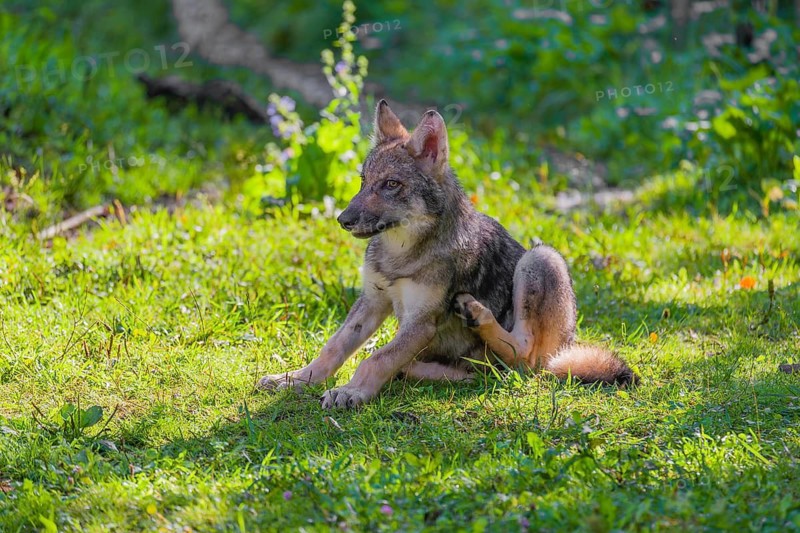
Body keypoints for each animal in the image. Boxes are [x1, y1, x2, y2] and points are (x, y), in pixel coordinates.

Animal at [258, 100, 637, 408]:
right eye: (363, 182)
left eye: (391, 185)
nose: (343, 220)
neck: (400, 255)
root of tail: (567, 347)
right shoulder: (373, 301)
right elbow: (334, 348)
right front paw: (295, 379)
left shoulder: (421, 321)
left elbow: (377, 358)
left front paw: (351, 391)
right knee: (476, 371)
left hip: (540, 259)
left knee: (523, 357)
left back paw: (478, 316)